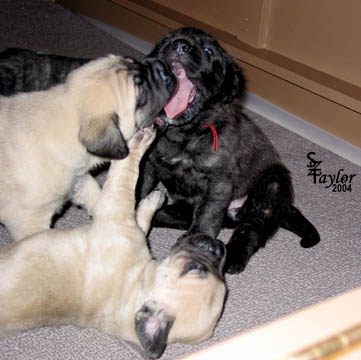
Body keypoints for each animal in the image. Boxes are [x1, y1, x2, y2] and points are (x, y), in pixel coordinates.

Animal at [136, 26, 320, 272]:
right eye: (166, 41)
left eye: (208, 50)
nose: (179, 45)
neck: (185, 133)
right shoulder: (149, 162)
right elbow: (141, 188)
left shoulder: (218, 181)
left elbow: (207, 216)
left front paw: (197, 247)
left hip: (271, 187)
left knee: (251, 231)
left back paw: (231, 258)